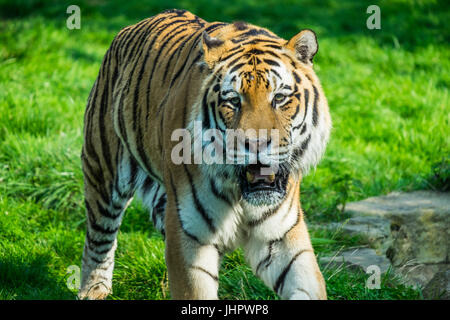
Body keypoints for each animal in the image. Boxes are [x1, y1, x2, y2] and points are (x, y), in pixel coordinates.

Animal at [77, 9, 330, 300]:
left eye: (279, 98)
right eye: (233, 100)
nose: (256, 144)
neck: (240, 193)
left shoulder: (282, 238)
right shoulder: (190, 239)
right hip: (103, 171)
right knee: (98, 239)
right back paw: (93, 290)